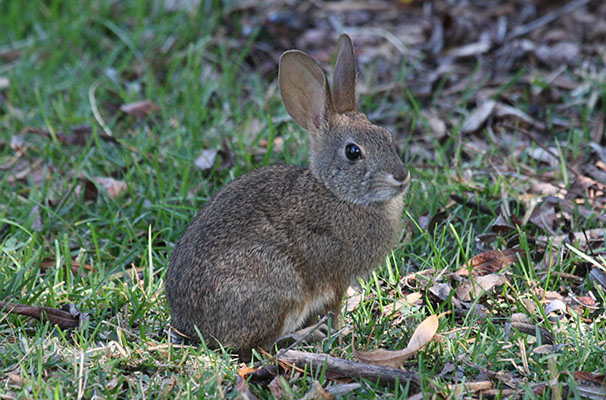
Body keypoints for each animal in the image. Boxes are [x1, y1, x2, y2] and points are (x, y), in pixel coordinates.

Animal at [166, 32, 410, 354]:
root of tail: (190, 327)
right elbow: (334, 308)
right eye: (353, 152)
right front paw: (341, 332)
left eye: (388, 136)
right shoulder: (335, 275)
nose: (402, 176)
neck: (335, 193)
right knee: (258, 345)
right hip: (280, 286)